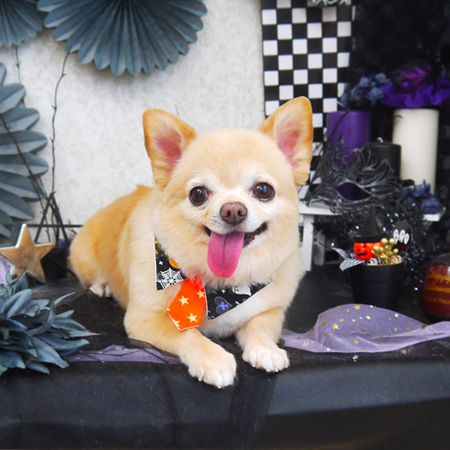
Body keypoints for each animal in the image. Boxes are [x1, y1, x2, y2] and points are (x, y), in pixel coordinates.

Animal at [70, 97, 313, 388]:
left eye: (263, 190)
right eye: (198, 194)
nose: (233, 210)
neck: (224, 288)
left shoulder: (271, 310)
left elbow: (259, 326)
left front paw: (266, 349)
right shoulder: (143, 318)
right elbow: (186, 334)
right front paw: (212, 358)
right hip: (82, 255)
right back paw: (102, 286)